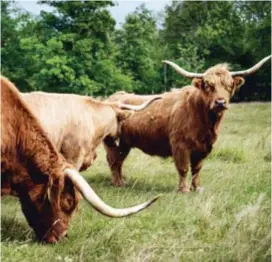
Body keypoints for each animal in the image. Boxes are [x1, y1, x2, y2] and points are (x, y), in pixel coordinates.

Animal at [105, 55, 270, 191]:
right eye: (208, 85)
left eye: (229, 86)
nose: (220, 102)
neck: (205, 122)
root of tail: (112, 98)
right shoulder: (180, 145)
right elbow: (183, 168)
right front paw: (183, 190)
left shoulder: (204, 147)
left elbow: (197, 169)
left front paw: (196, 188)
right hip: (112, 142)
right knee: (113, 161)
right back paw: (116, 183)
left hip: (124, 144)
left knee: (119, 161)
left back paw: (122, 181)